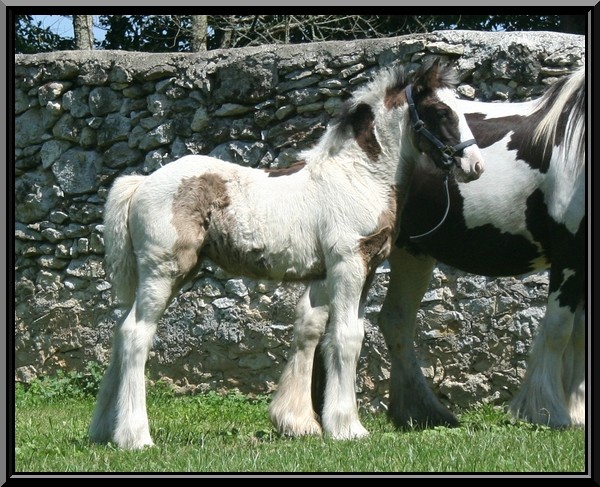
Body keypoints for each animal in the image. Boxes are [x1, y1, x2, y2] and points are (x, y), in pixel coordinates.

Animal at [88, 58, 482, 450]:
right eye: (440, 111)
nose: (475, 165)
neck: (359, 176)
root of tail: (141, 182)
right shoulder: (348, 264)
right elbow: (346, 337)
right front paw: (348, 428)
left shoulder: (354, 270)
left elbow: (325, 331)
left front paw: (309, 423)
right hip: (164, 271)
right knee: (136, 334)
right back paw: (136, 437)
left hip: (163, 275)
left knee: (119, 332)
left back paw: (105, 431)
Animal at [300, 63, 584, 430]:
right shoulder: (568, 259)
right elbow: (558, 330)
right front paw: (548, 411)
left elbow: (579, 338)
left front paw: (575, 410)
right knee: (318, 321)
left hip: (411, 254)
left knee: (394, 320)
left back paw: (419, 410)